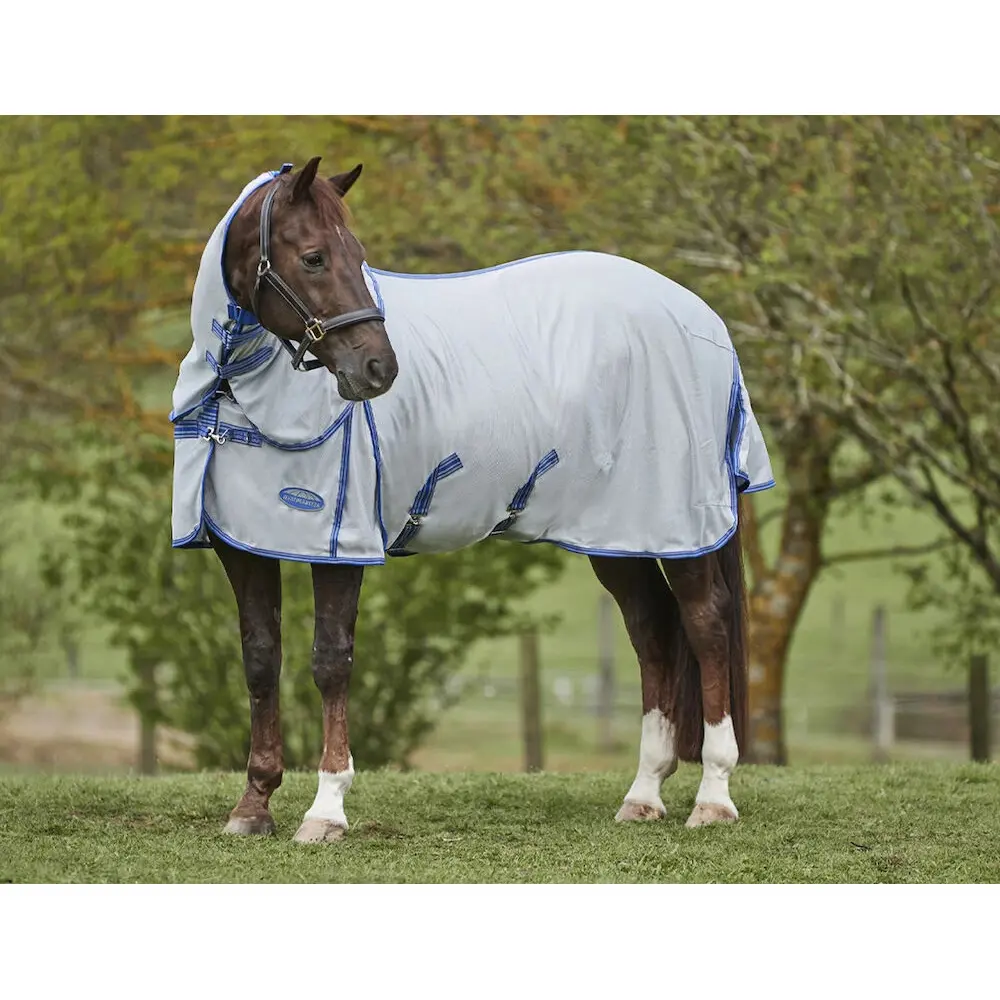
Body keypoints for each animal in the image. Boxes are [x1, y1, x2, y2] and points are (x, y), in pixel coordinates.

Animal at [169, 157, 775, 843]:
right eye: (315, 257)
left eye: (358, 255)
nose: (379, 370)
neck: (242, 392)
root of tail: (703, 318)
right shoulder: (243, 545)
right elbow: (259, 660)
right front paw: (253, 804)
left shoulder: (341, 546)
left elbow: (330, 662)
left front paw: (326, 809)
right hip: (618, 533)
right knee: (651, 631)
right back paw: (643, 794)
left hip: (681, 524)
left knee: (705, 625)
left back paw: (713, 797)